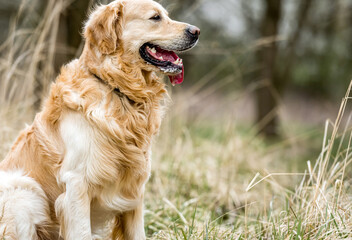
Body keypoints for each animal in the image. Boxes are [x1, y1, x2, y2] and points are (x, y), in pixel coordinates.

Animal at [0, 0, 198, 239]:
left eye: (165, 15)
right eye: (155, 17)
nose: (196, 31)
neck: (117, 89)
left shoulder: (135, 190)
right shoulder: (76, 185)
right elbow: (82, 231)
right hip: (24, 190)